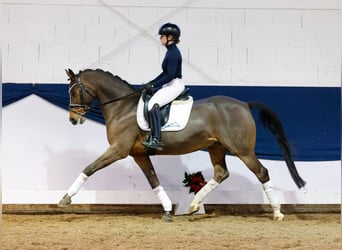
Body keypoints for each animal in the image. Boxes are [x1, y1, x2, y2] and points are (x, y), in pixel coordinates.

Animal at [57, 68, 306, 221]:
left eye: (75, 91)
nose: (72, 119)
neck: (122, 107)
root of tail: (244, 104)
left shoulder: (118, 150)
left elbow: (89, 168)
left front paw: (65, 199)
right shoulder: (138, 154)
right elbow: (153, 181)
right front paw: (168, 210)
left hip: (242, 150)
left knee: (262, 172)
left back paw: (277, 213)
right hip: (216, 148)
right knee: (221, 173)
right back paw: (193, 205)